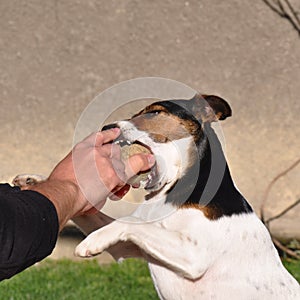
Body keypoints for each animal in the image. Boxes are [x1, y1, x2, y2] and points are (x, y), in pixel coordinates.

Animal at [15, 93, 300, 298]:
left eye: (154, 112)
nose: (107, 127)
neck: (172, 191)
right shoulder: (127, 247)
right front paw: (34, 180)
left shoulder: (194, 253)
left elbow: (131, 222)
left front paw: (90, 242)